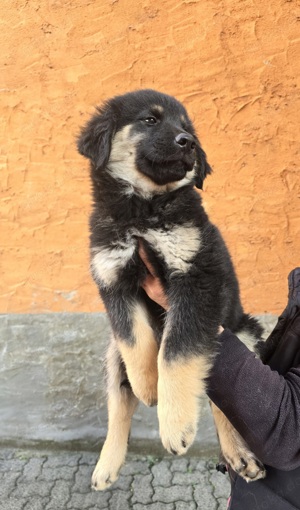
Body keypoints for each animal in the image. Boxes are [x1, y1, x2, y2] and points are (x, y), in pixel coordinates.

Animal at [77, 90, 264, 490]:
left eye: (187, 127)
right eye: (150, 120)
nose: (188, 142)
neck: (143, 210)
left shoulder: (195, 278)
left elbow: (174, 351)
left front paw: (175, 424)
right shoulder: (114, 279)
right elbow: (137, 344)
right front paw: (149, 387)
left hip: (242, 333)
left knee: (224, 401)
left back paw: (239, 454)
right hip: (112, 354)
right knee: (119, 403)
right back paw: (107, 465)